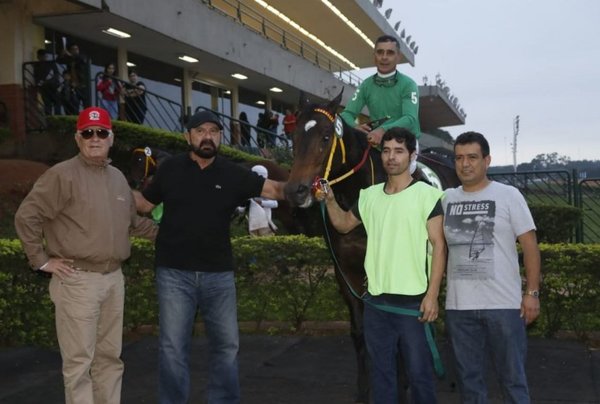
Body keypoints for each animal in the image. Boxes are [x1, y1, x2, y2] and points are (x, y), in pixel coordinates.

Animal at [284, 90, 458, 402]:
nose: (296, 191)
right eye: (293, 136)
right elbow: (360, 332)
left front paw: (402, 385)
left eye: (326, 136)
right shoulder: (345, 272)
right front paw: (364, 389)